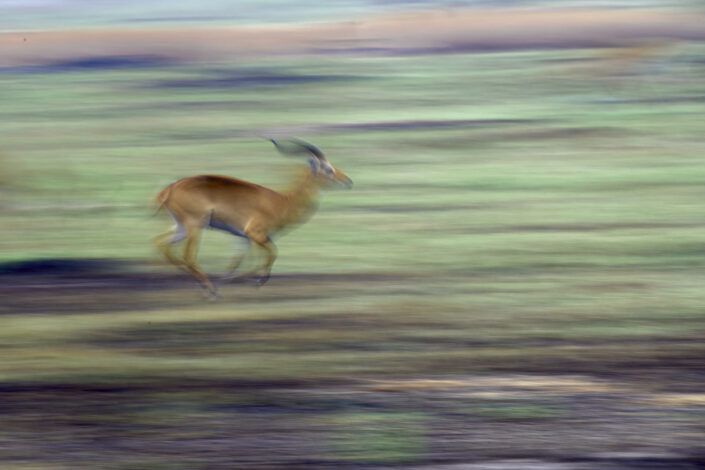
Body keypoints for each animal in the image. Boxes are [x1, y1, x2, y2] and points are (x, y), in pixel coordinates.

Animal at [154, 138, 352, 298]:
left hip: (181, 227)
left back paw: (202, 284)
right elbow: (273, 253)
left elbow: (237, 262)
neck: (283, 202)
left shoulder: (242, 237)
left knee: (160, 243)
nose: (348, 181)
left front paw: (229, 279)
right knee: (187, 256)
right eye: (328, 169)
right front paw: (257, 280)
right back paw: (210, 291)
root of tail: (170, 189)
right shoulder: (255, 234)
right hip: (195, 225)